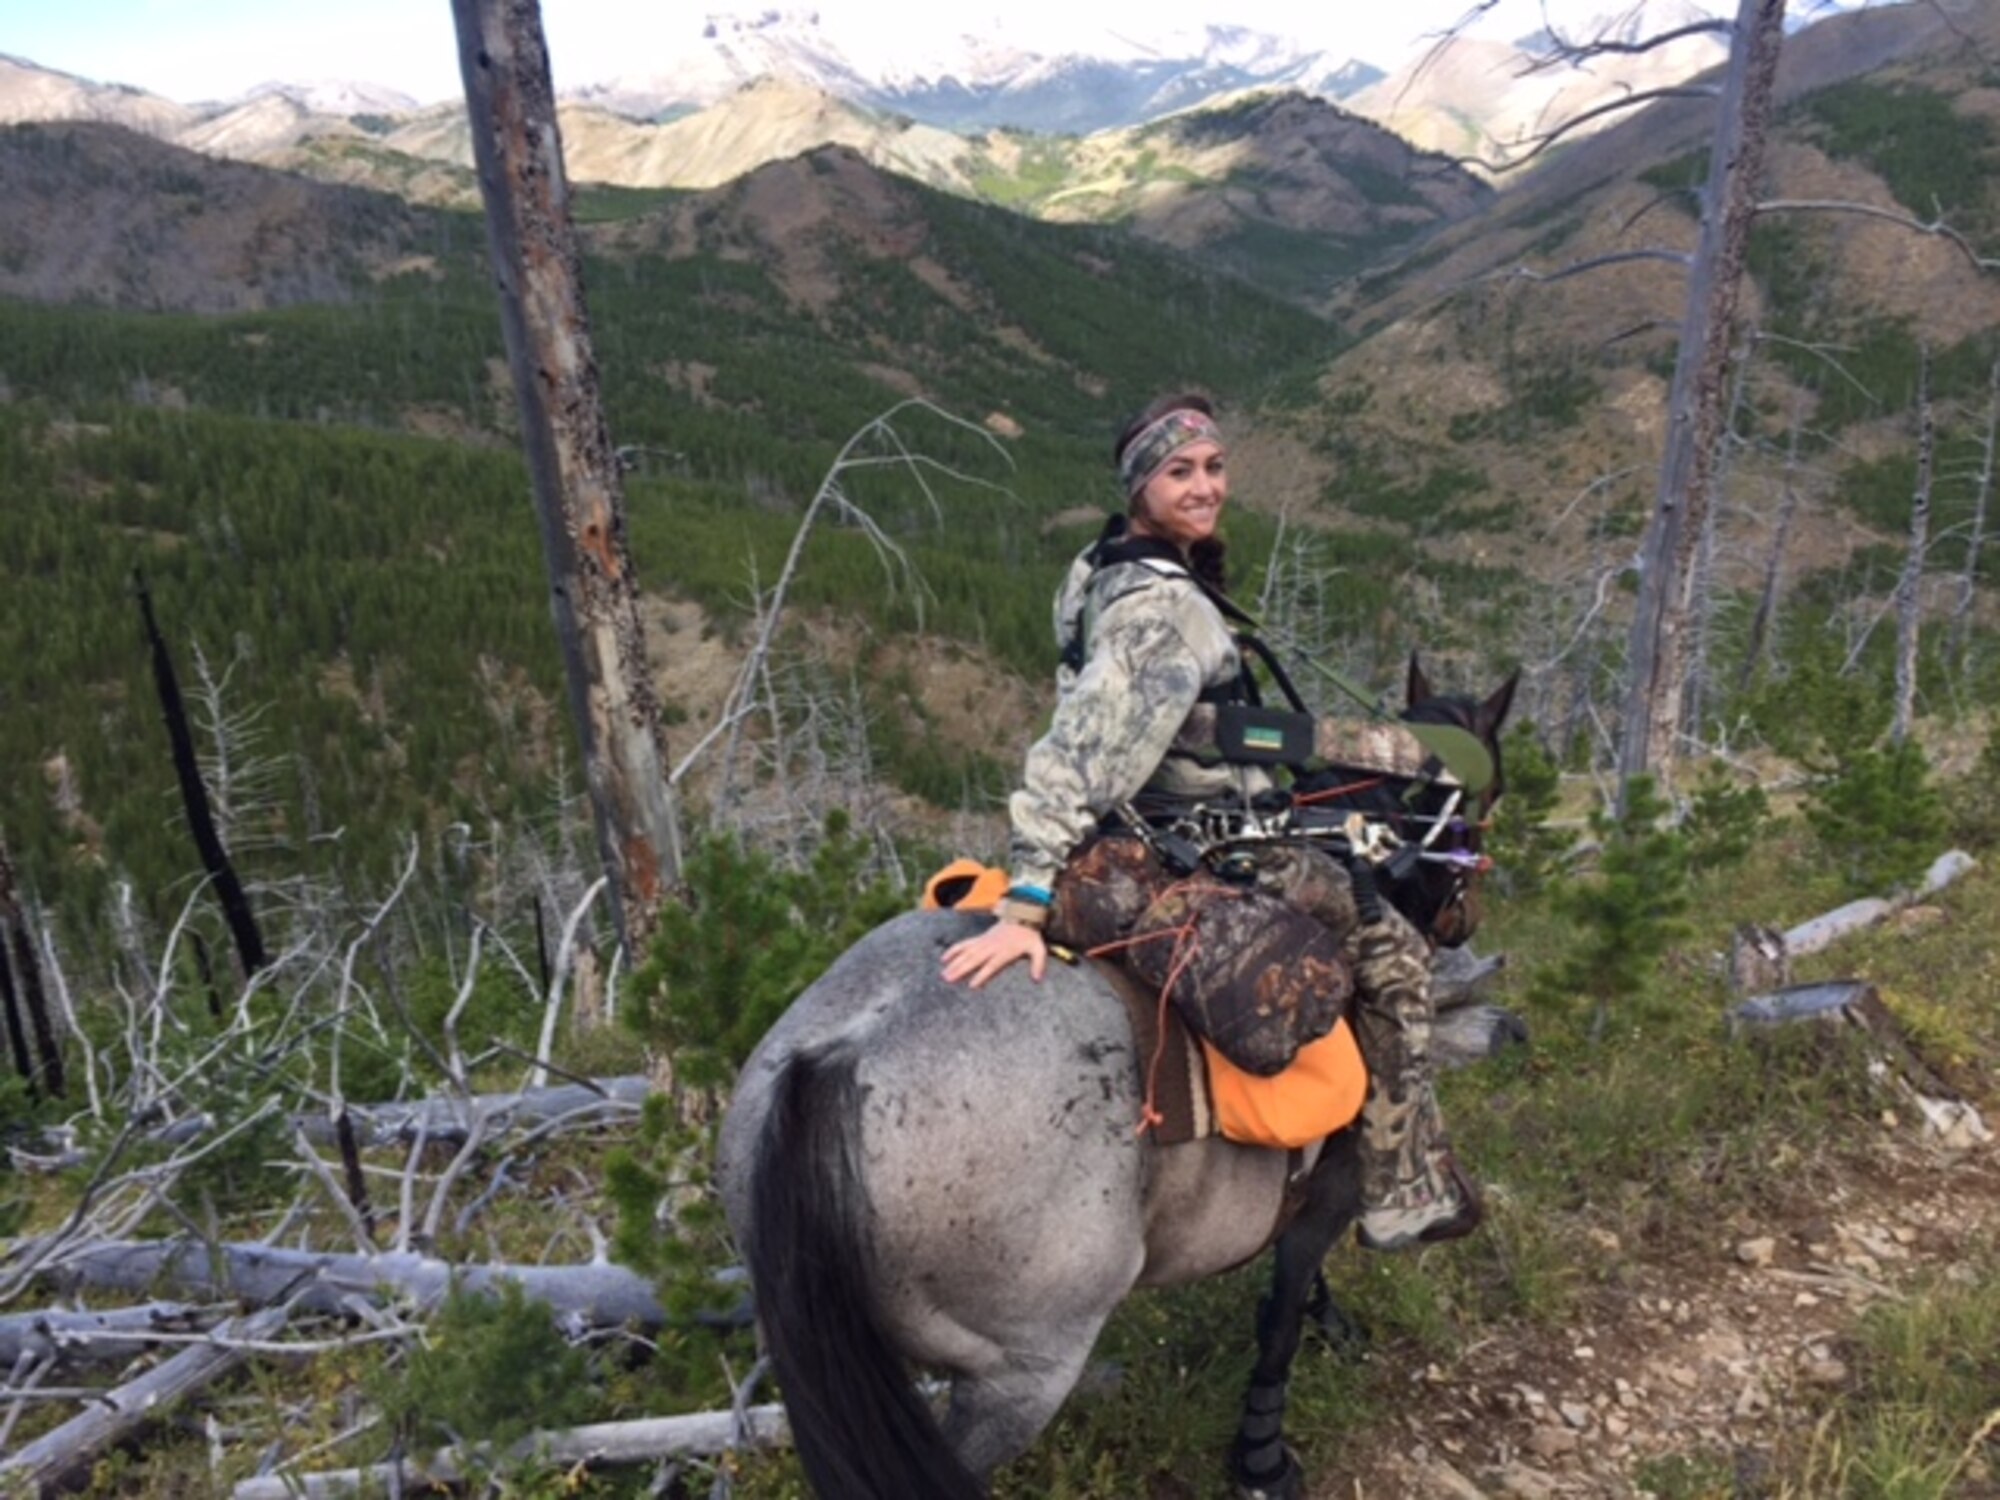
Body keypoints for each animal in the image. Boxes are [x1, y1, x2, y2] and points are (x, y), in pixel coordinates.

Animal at [720, 680, 1512, 1500]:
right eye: (1493, 792)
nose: (1464, 917)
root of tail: (833, 1060)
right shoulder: (1336, 1189)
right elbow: (1285, 1312)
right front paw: (1262, 1452)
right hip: (1021, 1372)